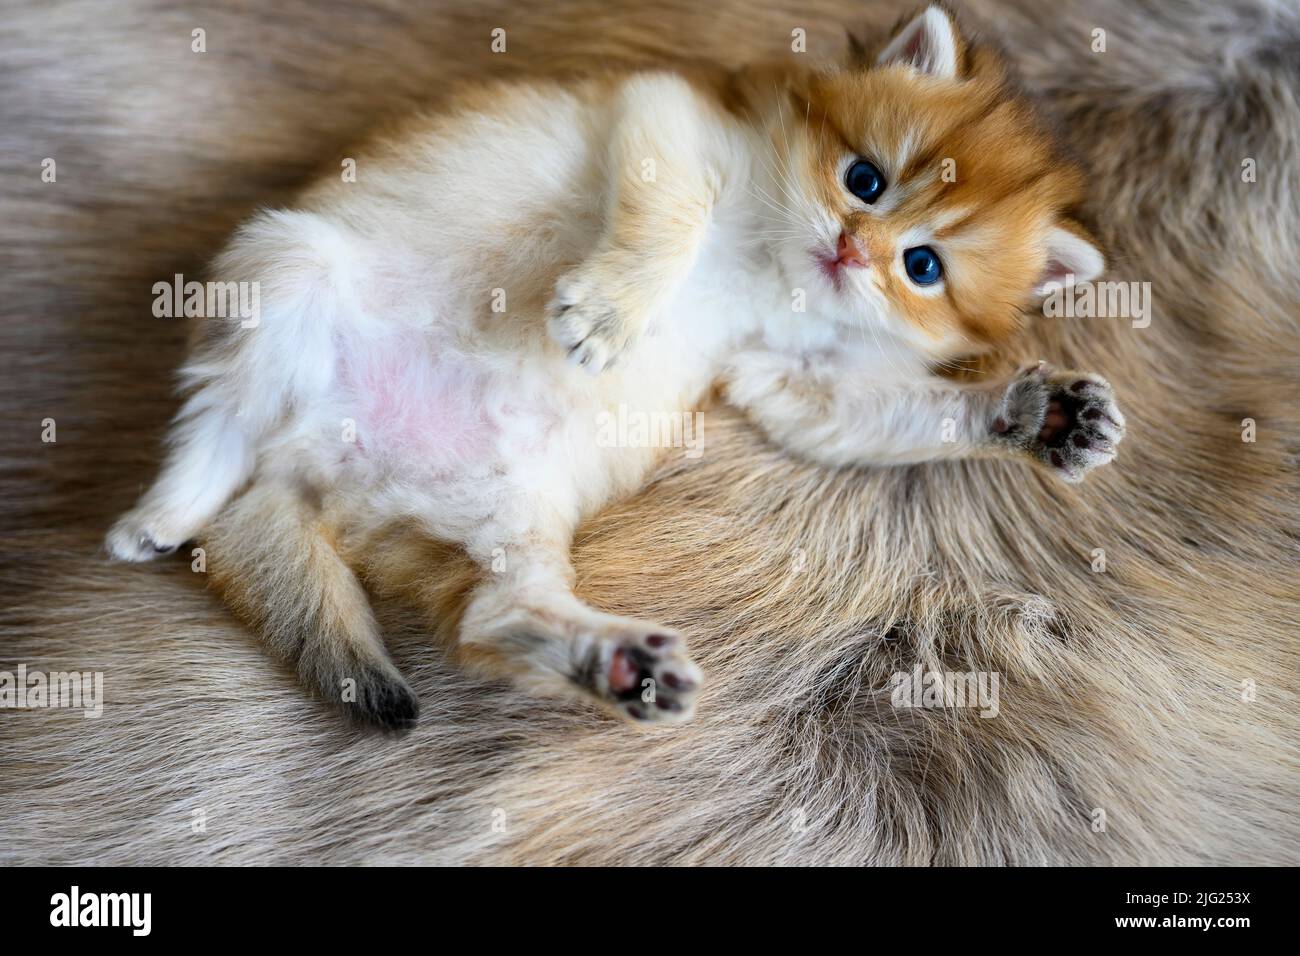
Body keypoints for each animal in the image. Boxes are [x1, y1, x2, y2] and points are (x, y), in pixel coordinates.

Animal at [109, 3, 1128, 728]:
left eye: (922, 268)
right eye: (865, 179)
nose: (850, 249)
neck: (772, 261)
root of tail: (324, 466)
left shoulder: (788, 379)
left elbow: (891, 412)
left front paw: (1035, 415)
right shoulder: (671, 117)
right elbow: (674, 215)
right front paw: (608, 312)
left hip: (514, 507)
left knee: (493, 618)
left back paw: (617, 664)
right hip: (290, 267)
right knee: (224, 426)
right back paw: (161, 515)